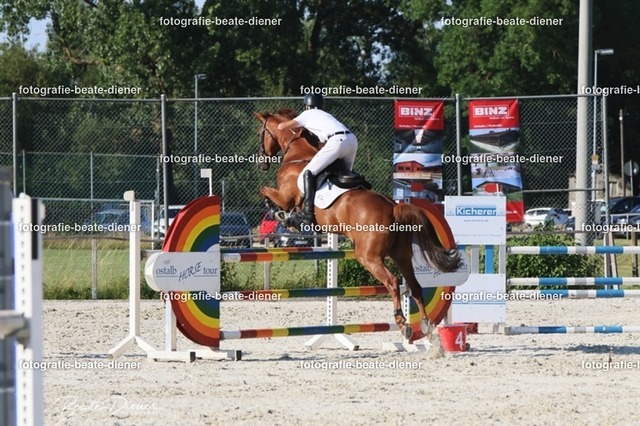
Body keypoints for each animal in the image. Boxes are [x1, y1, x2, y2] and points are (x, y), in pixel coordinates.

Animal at [253, 109, 462, 342]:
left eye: (260, 133)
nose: (262, 163)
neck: (297, 153)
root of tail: (393, 208)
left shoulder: (285, 197)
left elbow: (266, 192)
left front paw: (282, 215)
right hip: (401, 254)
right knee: (414, 286)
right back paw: (426, 327)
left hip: (368, 257)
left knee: (392, 282)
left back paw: (402, 322)